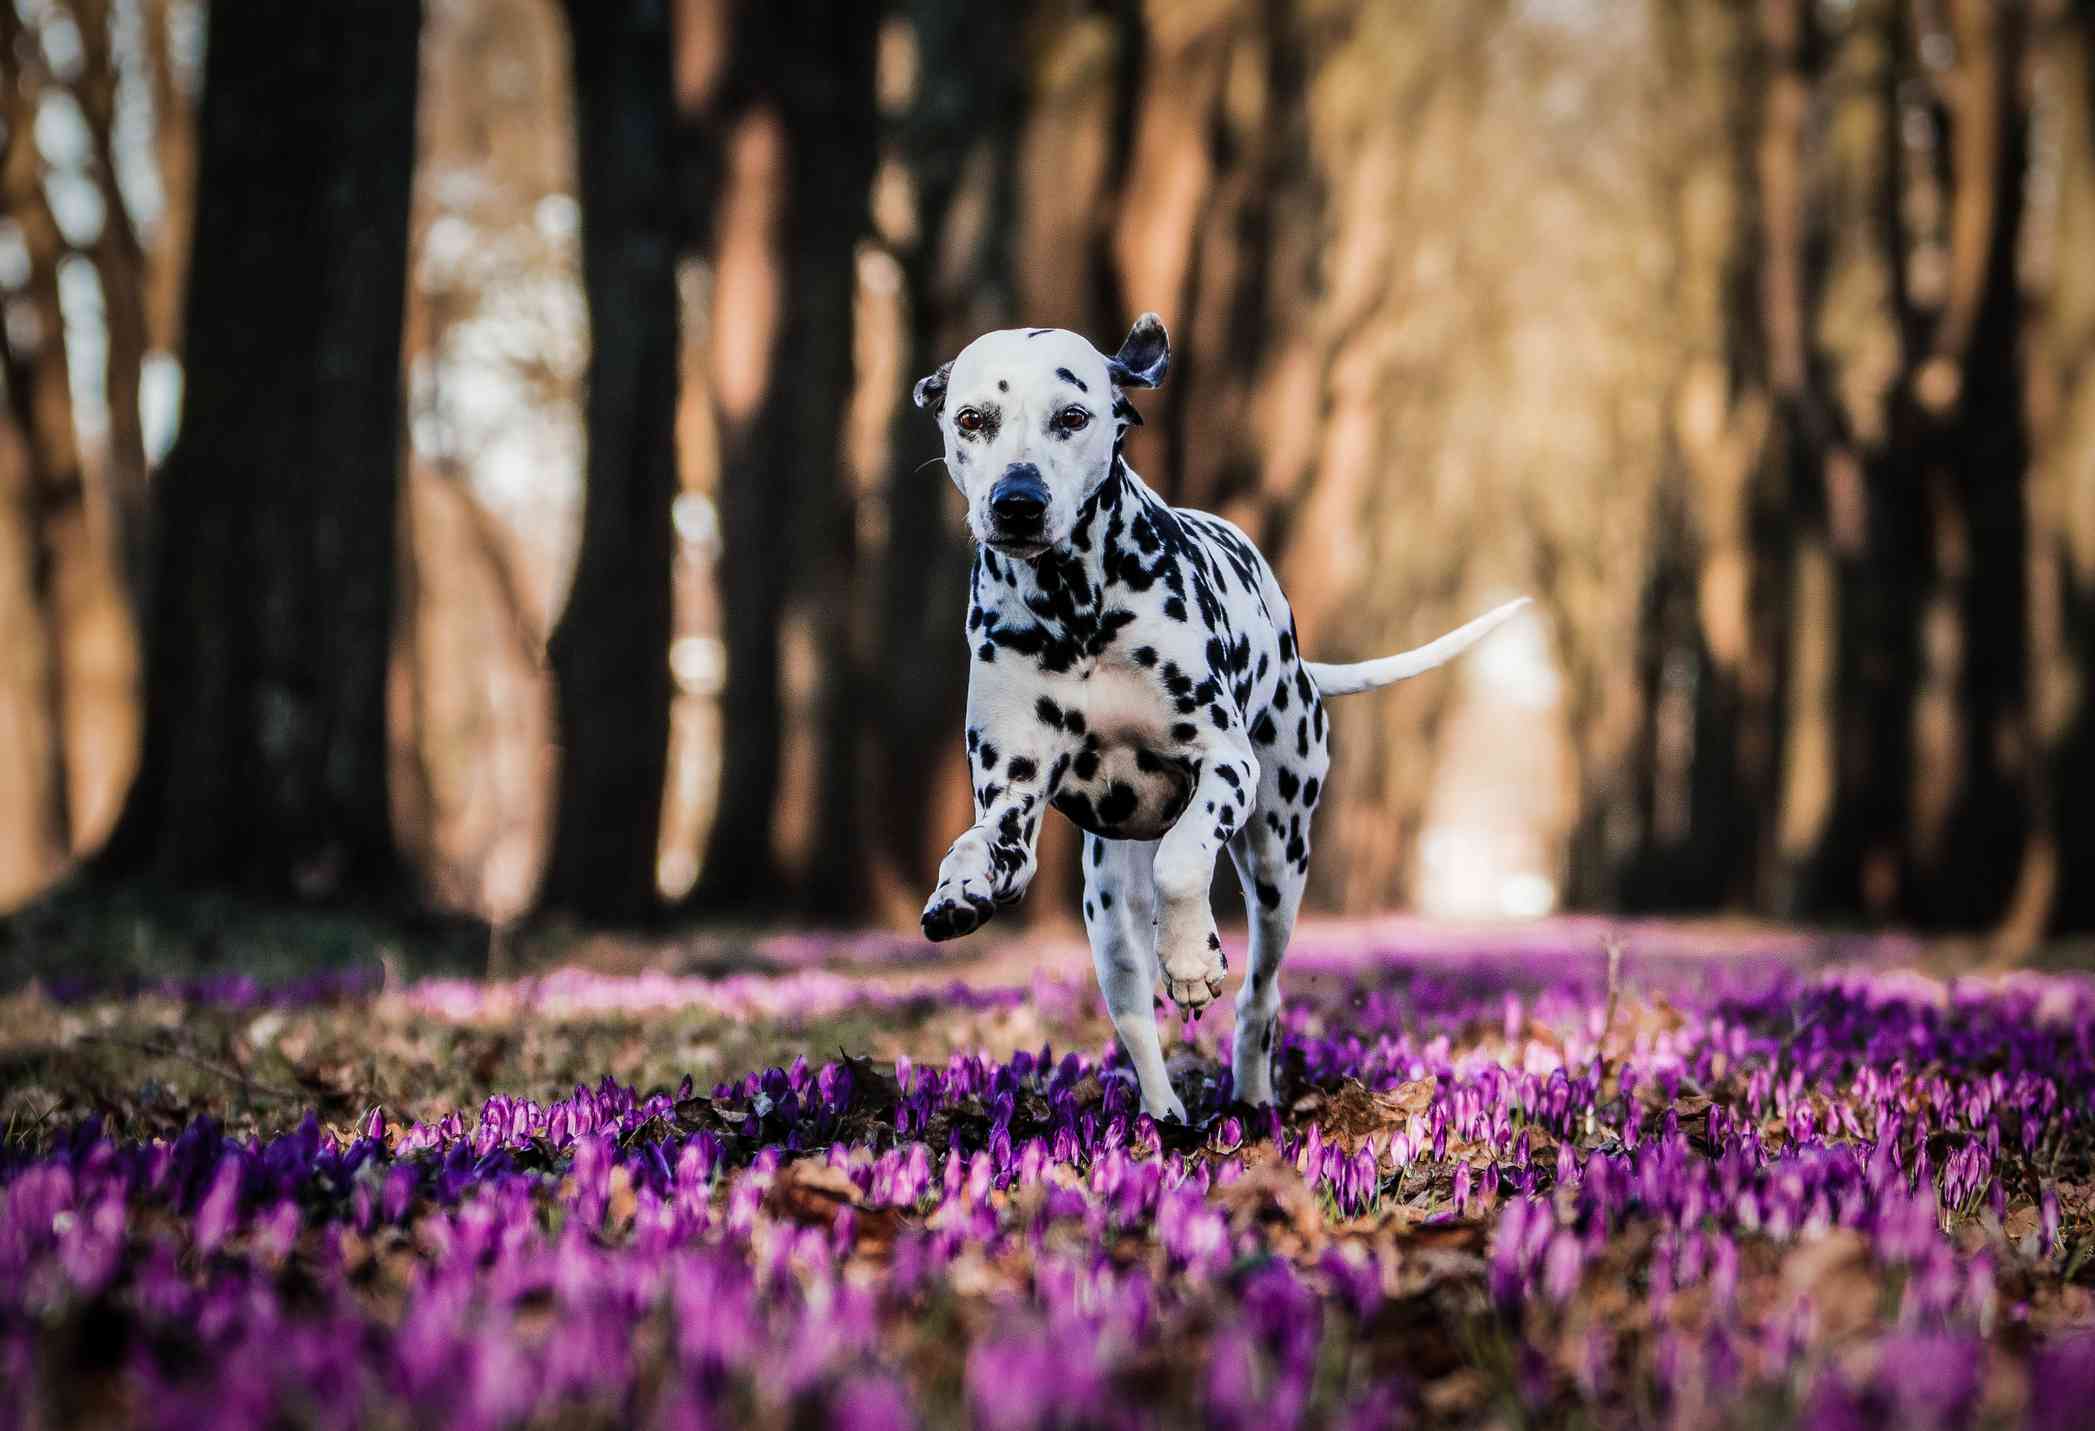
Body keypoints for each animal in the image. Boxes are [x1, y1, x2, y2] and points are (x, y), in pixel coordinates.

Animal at [913, 316, 1525, 1131]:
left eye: (1072, 417)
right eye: (971, 419)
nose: (1017, 501)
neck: (1074, 610)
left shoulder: (1226, 764)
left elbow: (1183, 861)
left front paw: (1193, 958)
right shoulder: (1012, 798)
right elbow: (979, 843)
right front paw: (957, 889)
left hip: (1278, 860)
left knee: (1260, 993)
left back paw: (1251, 1091)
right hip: (1107, 909)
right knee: (1133, 1011)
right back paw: (1163, 1116)